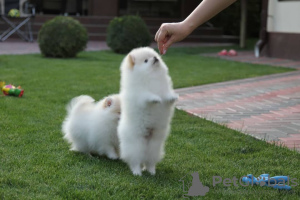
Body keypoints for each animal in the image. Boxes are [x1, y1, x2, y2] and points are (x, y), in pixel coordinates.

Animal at [118, 47, 178, 175]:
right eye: (145, 60)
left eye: (154, 56)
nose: (155, 58)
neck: (152, 76)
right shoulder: (140, 94)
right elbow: (147, 95)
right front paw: (155, 99)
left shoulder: (164, 89)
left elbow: (167, 95)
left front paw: (173, 97)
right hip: (136, 146)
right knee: (135, 161)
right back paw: (137, 172)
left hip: (154, 146)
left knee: (149, 161)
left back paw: (151, 171)